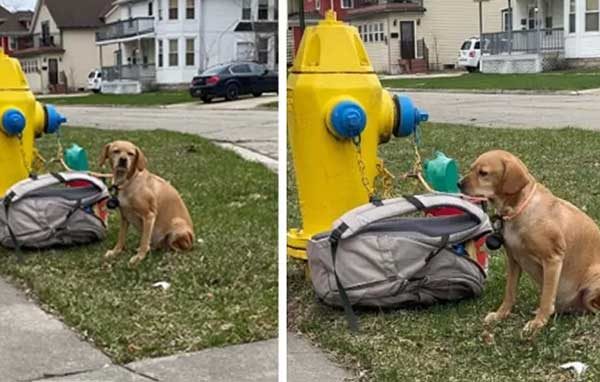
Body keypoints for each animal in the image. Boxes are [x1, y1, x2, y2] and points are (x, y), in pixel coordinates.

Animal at [101, 139, 193, 268]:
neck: (128, 182)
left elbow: (144, 242)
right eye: (116, 151)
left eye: (131, 154)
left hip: (177, 224)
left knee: (176, 248)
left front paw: (139, 258)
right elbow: (121, 238)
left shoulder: (149, 216)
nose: (123, 160)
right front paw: (115, 252)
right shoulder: (124, 217)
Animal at [462, 149, 600, 334]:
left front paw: (538, 322)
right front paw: (500, 314)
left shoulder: (553, 260)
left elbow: (546, 298)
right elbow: (510, 292)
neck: (517, 210)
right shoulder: (513, 260)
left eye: (483, 173)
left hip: (593, 281)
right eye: (472, 168)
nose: (458, 184)